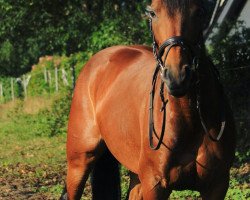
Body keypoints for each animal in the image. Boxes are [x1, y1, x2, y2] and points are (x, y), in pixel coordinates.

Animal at [61, 0, 236, 199]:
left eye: (200, 11)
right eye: (152, 13)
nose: (177, 76)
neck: (189, 120)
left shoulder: (217, 185)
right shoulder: (155, 185)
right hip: (79, 161)